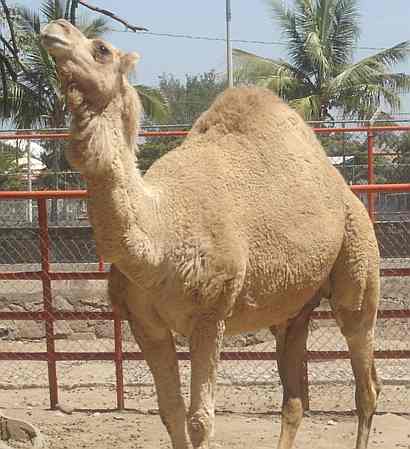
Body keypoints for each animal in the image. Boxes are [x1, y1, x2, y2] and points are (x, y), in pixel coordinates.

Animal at [40, 18, 382, 448]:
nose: (54, 29)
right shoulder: (145, 324)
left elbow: (200, 419)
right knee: (295, 397)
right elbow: (170, 412)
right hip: (291, 307)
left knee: (366, 380)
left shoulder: (210, 312)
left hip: (358, 266)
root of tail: (346, 193)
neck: (162, 234)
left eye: (101, 48)